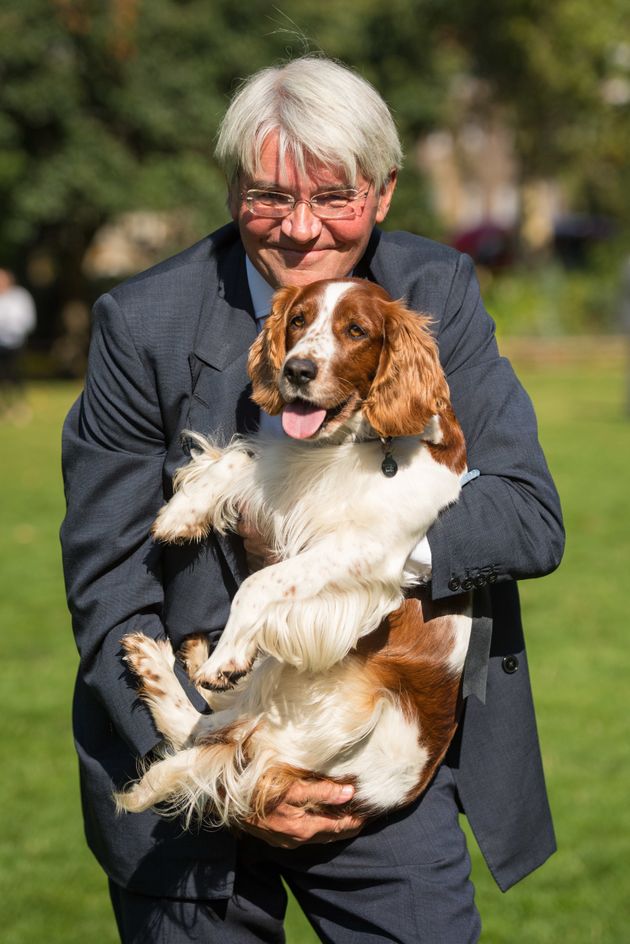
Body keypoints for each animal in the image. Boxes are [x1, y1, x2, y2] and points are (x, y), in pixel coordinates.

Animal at [117, 278, 474, 824]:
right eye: (298, 320)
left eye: (356, 330)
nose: (297, 370)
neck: (351, 446)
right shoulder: (285, 477)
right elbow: (236, 462)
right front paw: (182, 514)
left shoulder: (365, 553)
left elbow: (259, 582)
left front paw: (228, 654)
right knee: (208, 725)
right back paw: (169, 658)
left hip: (313, 698)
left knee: (209, 728)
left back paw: (179, 664)